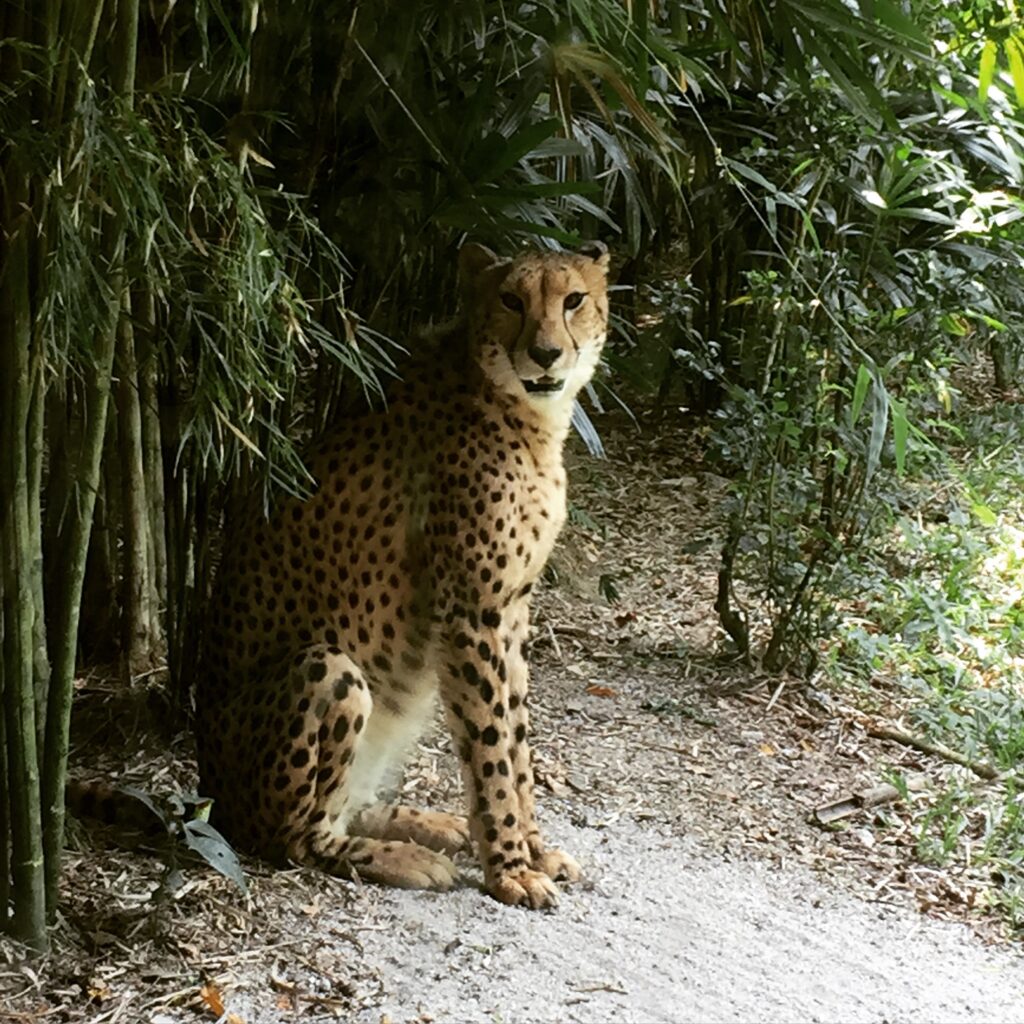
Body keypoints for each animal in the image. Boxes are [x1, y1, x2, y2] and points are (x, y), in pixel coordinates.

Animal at [195, 240, 611, 909]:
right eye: (511, 300)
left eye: (573, 299)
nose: (547, 353)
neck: (520, 407)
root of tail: (208, 790)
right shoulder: (471, 615)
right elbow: (492, 750)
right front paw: (510, 868)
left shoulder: (511, 612)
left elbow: (517, 741)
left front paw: (534, 850)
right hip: (330, 669)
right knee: (296, 837)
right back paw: (402, 856)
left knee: (348, 807)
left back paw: (430, 824)